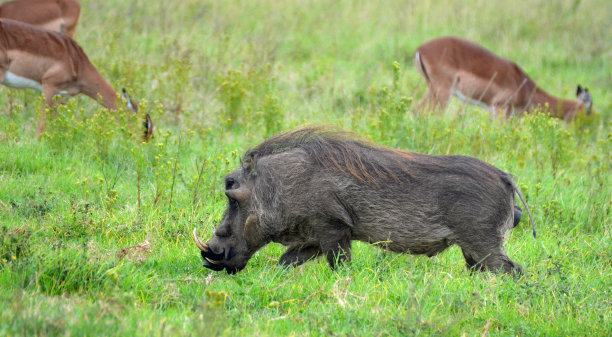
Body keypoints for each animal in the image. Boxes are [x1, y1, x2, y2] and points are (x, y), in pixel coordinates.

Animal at [0, 18, 153, 138]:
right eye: (145, 124)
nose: (143, 145)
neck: (77, 63)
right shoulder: (49, 87)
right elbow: (42, 124)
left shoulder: (60, 95)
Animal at [414, 35, 592, 119]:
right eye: (588, 110)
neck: (526, 88)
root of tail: (420, 49)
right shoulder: (500, 109)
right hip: (443, 93)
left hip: (432, 89)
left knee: (416, 110)